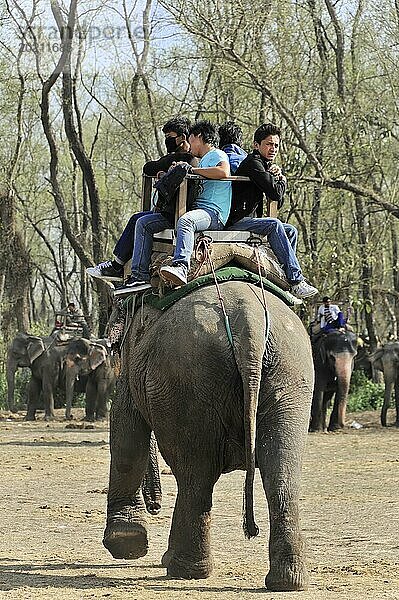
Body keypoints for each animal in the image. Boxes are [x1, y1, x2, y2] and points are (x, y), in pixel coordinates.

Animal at [101, 282, 314, 592]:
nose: (155, 506)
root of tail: (249, 321)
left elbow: (124, 423)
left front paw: (126, 543)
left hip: (187, 379)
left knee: (195, 474)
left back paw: (182, 569)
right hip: (289, 374)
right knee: (281, 467)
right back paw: (287, 581)